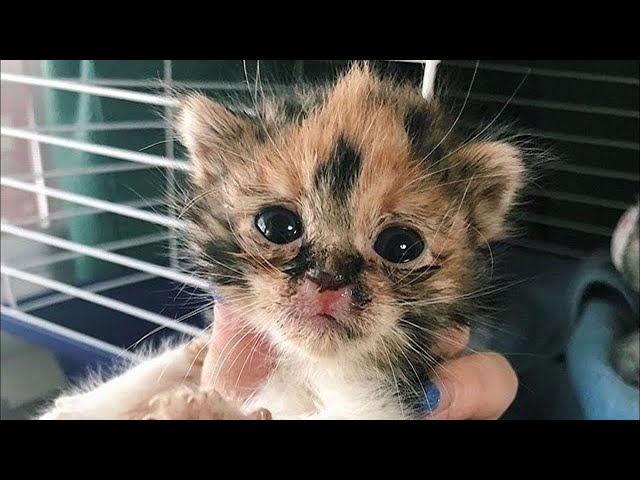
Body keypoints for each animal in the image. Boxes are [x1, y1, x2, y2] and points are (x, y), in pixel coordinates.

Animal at [38, 62, 524, 418]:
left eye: (401, 246)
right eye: (276, 225)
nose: (328, 279)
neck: (306, 368)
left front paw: (203, 410)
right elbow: (77, 407)